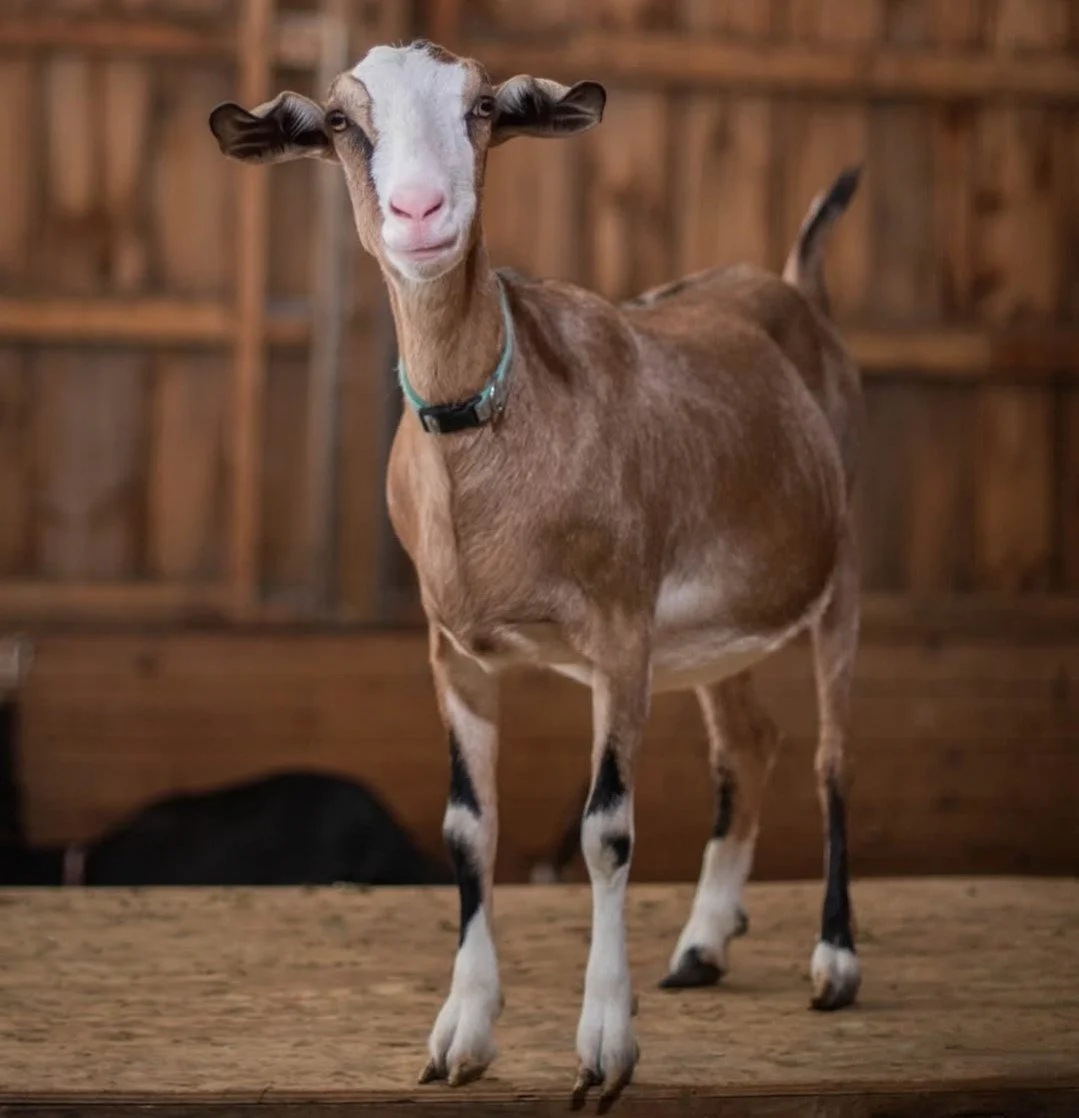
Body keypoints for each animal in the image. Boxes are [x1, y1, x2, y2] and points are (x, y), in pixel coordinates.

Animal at [210, 38, 864, 1107]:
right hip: (709, 636)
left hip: (840, 569)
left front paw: (603, 1047)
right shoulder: (455, 653)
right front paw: (462, 1035)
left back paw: (835, 962)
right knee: (749, 743)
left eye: (480, 107)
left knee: (831, 756)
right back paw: (701, 946)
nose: (420, 212)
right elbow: (466, 830)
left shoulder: (621, 635)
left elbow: (605, 830)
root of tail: (792, 288)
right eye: (343, 122)